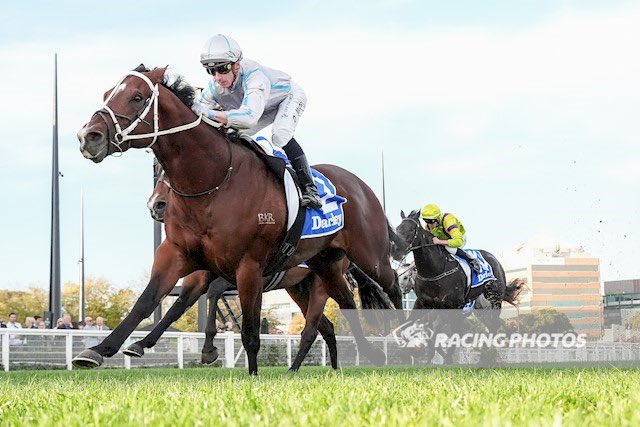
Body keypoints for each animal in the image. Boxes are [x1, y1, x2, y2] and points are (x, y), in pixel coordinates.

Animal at [129, 176, 392, 371]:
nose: (156, 204)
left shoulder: (240, 274)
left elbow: (213, 294)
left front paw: (209, 348)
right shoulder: (201, 276)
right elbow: (177, 307)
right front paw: (142, 344)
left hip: (320, 283)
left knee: (313, 327)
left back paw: (299, 368)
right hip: (297, 289)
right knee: (326, 327)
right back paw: (330, 368)